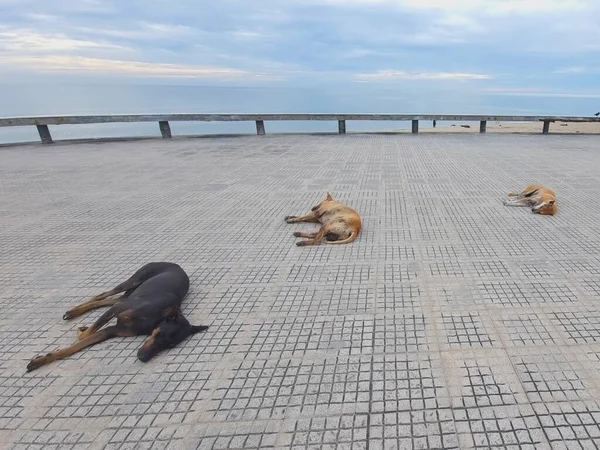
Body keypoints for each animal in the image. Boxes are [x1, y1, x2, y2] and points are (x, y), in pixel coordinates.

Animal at [26, 262, 209, 370]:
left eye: (170, 345)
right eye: (160, 333)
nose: (143, 358)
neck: (153, 319)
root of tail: (177, 265)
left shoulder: (113, 330)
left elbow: (78, 345)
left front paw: (42, 360)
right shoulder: (116, 311)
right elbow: (83, 336)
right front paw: (81, 331)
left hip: (130, 295)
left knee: (105, 300)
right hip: (134, 281)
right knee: (102, 295)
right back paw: (73, 311)